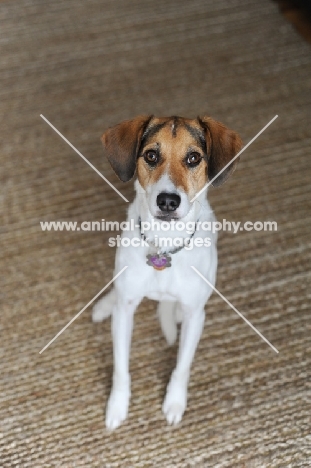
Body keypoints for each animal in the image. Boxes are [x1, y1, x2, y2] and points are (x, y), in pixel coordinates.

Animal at [92, 115, 244, 430]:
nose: (167, 201)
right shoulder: (125, 312)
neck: (164, 245)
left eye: (193, 158)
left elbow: (182, 367)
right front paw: (117, 407)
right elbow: (121, 368)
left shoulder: (195, 315)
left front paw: (175, 402)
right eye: (151, 155)